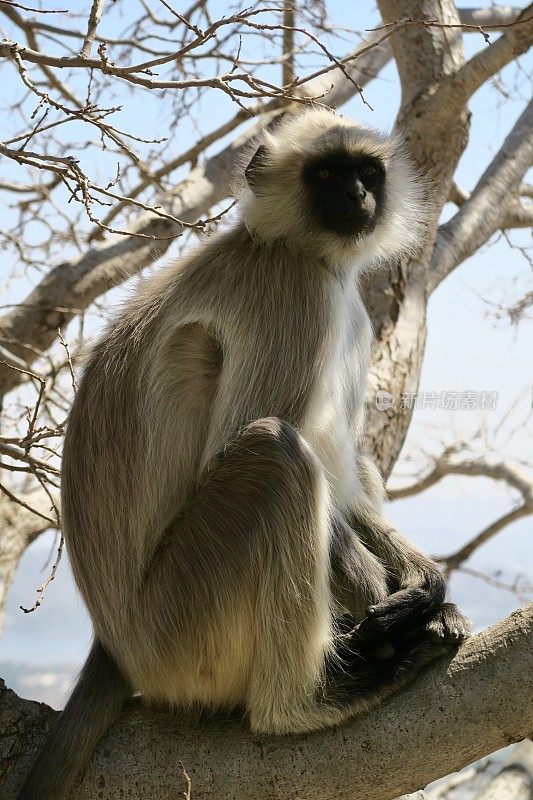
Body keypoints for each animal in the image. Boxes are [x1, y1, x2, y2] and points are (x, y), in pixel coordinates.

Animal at [17, 109, 470, 800]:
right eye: (326, 174)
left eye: (366, 172)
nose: (356, 197)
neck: (296, 248)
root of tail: (115, 644)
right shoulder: (293, 292)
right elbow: (250, 447)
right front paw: (407, 615)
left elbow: (346, 484)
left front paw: (423, 585)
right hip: (180, 629)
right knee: (274, 454)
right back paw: (303, 704)